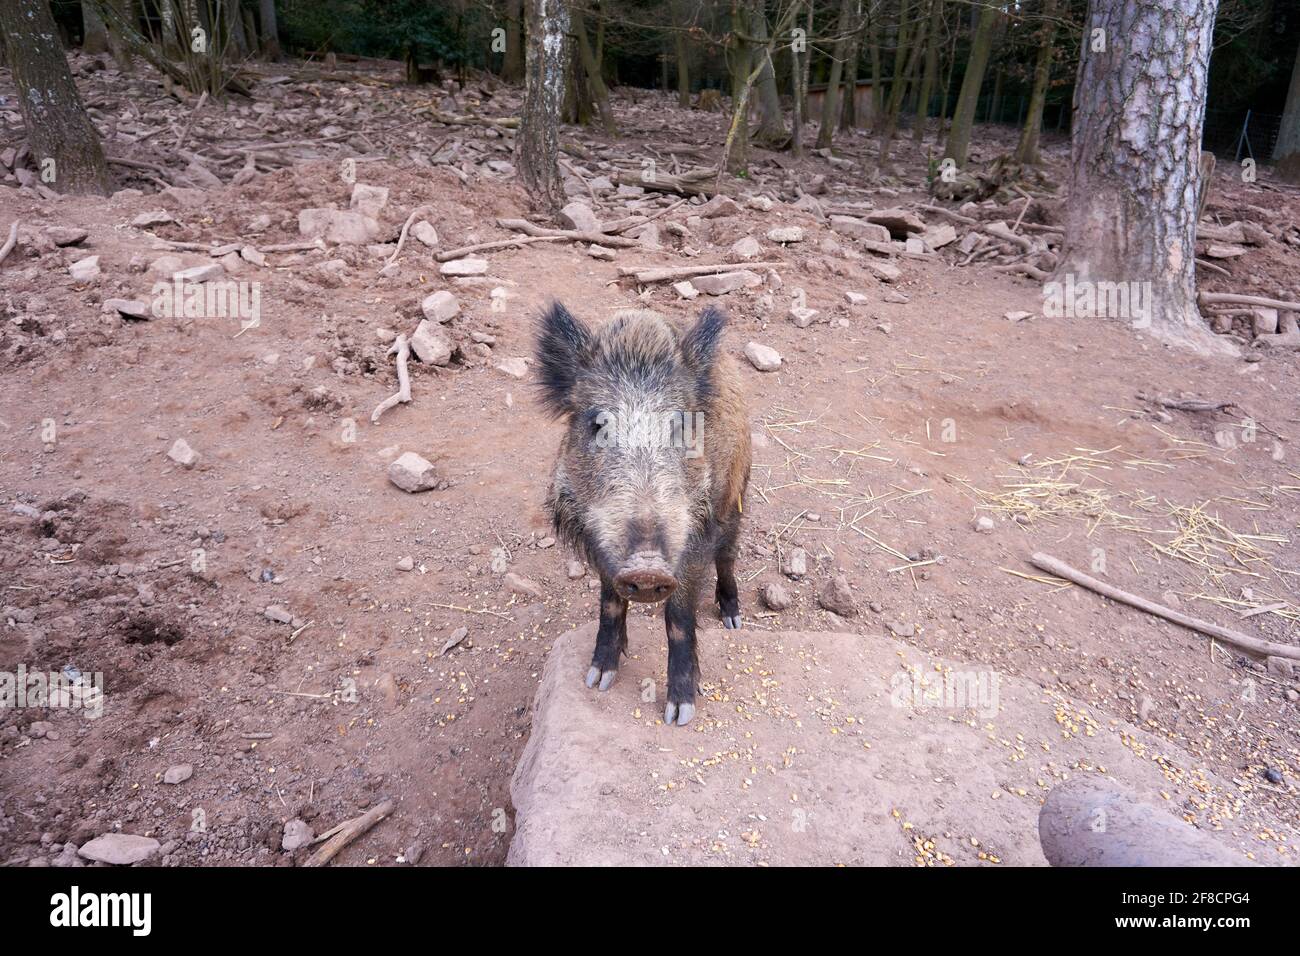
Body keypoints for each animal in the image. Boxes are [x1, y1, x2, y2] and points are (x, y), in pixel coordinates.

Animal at [534, 303, 752, 726]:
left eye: (681, 424)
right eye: (598, 424)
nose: (648, 569)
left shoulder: (696, 537)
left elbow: (679, 618)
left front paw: (679, 714)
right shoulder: (600, 542)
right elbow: (609, 602)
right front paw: (598, 678)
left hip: (739, 492)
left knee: (728, 556)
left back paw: (733, 619)